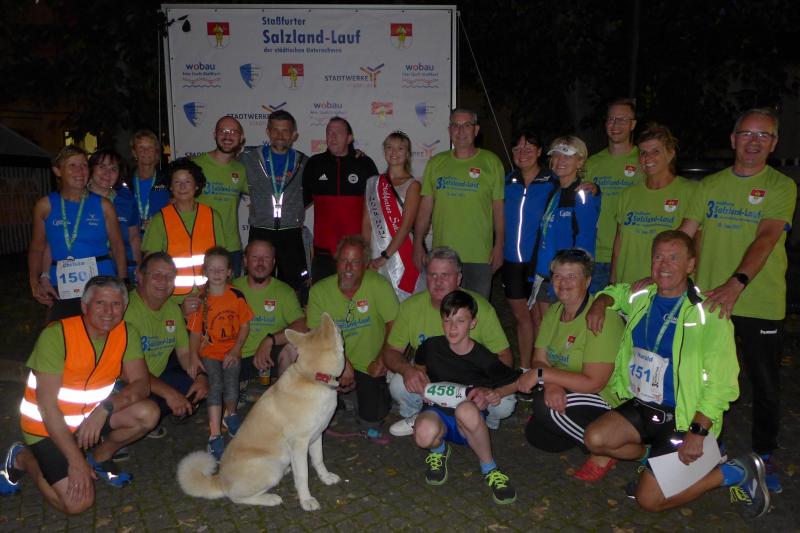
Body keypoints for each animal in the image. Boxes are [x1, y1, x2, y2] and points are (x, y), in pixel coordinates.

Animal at [177, 313, 345, 510]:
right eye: (338, 328)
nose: (341, 324)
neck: (313, 378)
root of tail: (220, 480)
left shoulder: (317, 436)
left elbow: (318, 460)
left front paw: (326, 477)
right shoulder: (299, 445)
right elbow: (302, 476)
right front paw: (306, 500)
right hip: (271, 468)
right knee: (236, 497)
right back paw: (270, 498)